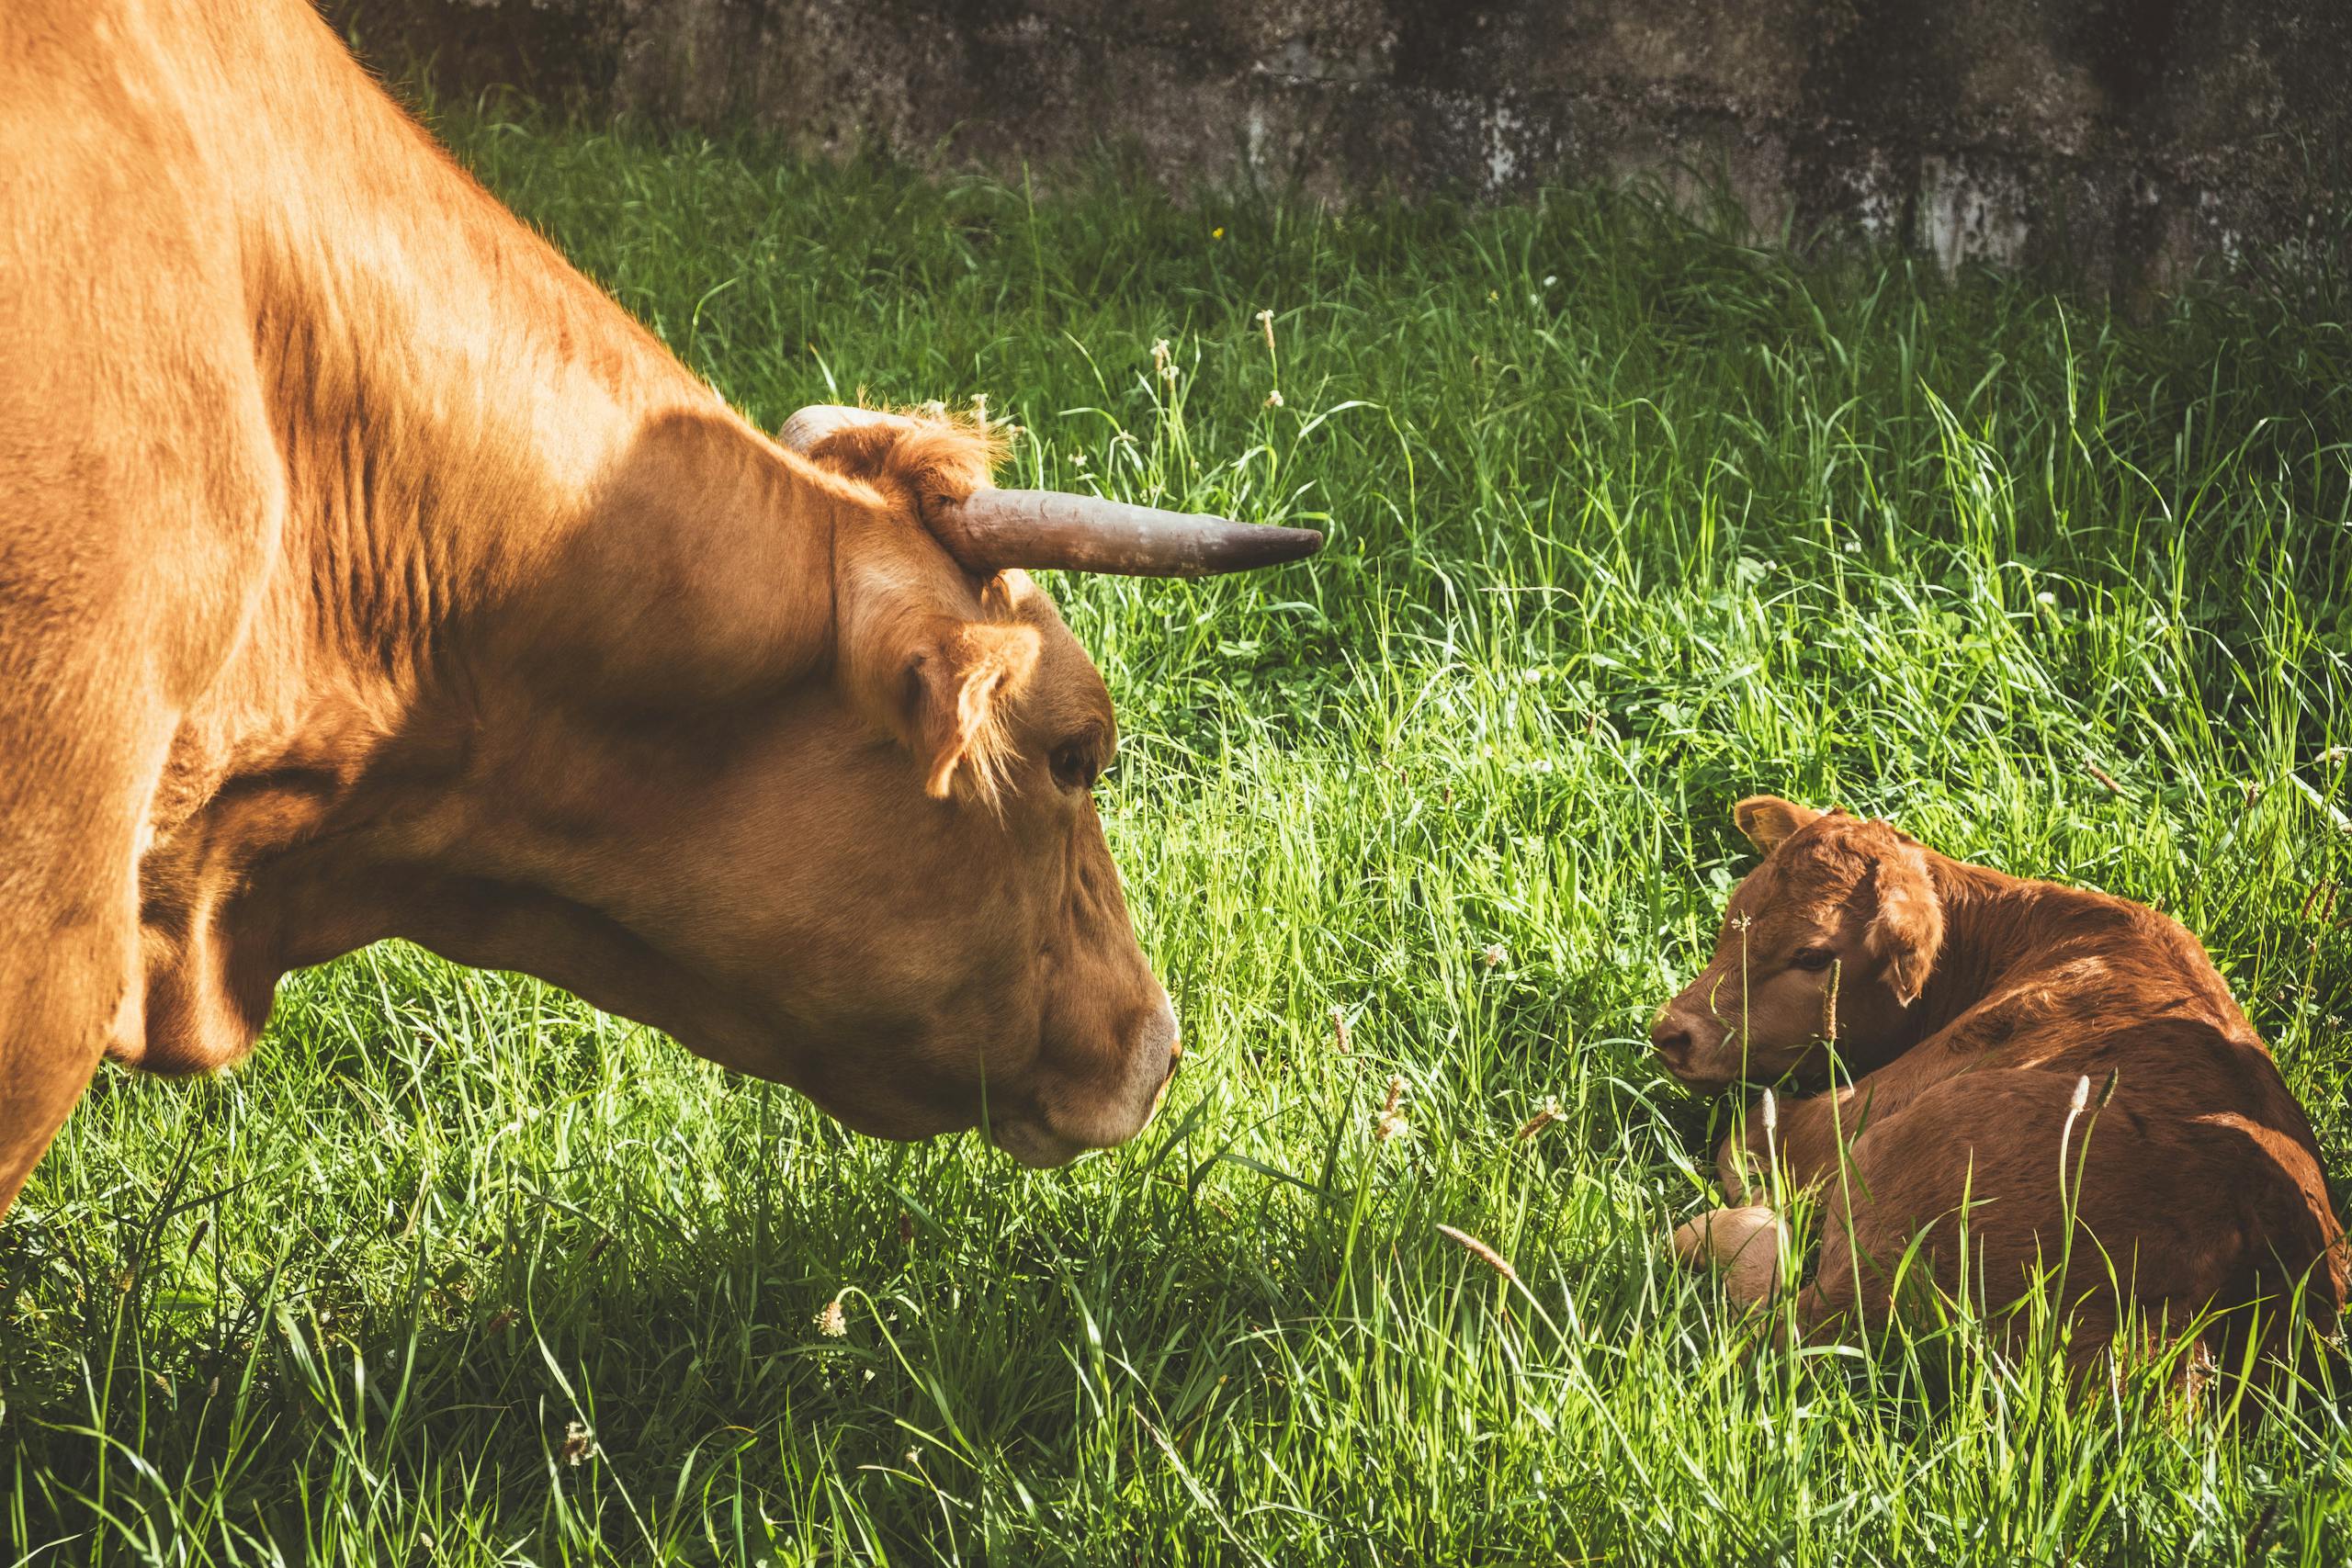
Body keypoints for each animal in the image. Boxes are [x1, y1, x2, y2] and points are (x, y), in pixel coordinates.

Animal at [1652, 797, 2348, 1387]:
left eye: (1814, 955)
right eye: (1734, 915)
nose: (1671, 1033)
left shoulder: (1842, 1120)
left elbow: (1742, 1139)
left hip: (1898, 1170)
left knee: (1779, 1314)